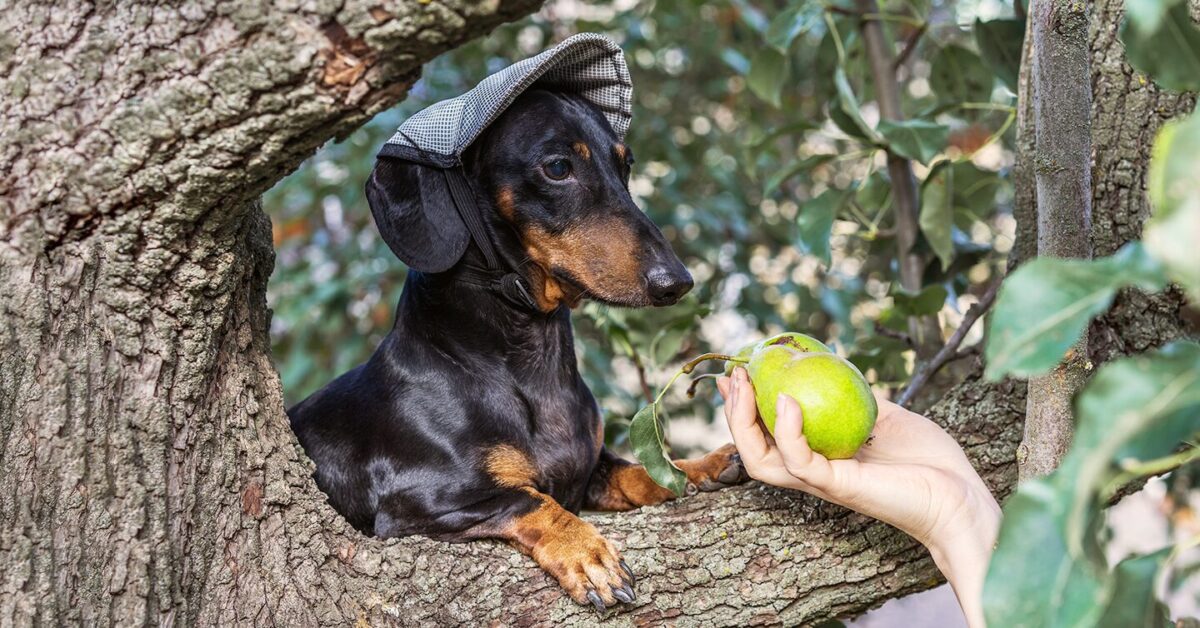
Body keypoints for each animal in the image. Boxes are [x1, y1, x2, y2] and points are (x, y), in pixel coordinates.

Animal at [286, 87, 744, 609]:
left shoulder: (588, 473)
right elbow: (531, 499)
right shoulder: (421, 504)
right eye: (558, 167)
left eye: (625, 165)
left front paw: (702, 465)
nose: (678, 282)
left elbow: (640, 470)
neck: (528, 366)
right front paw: (588, 553)